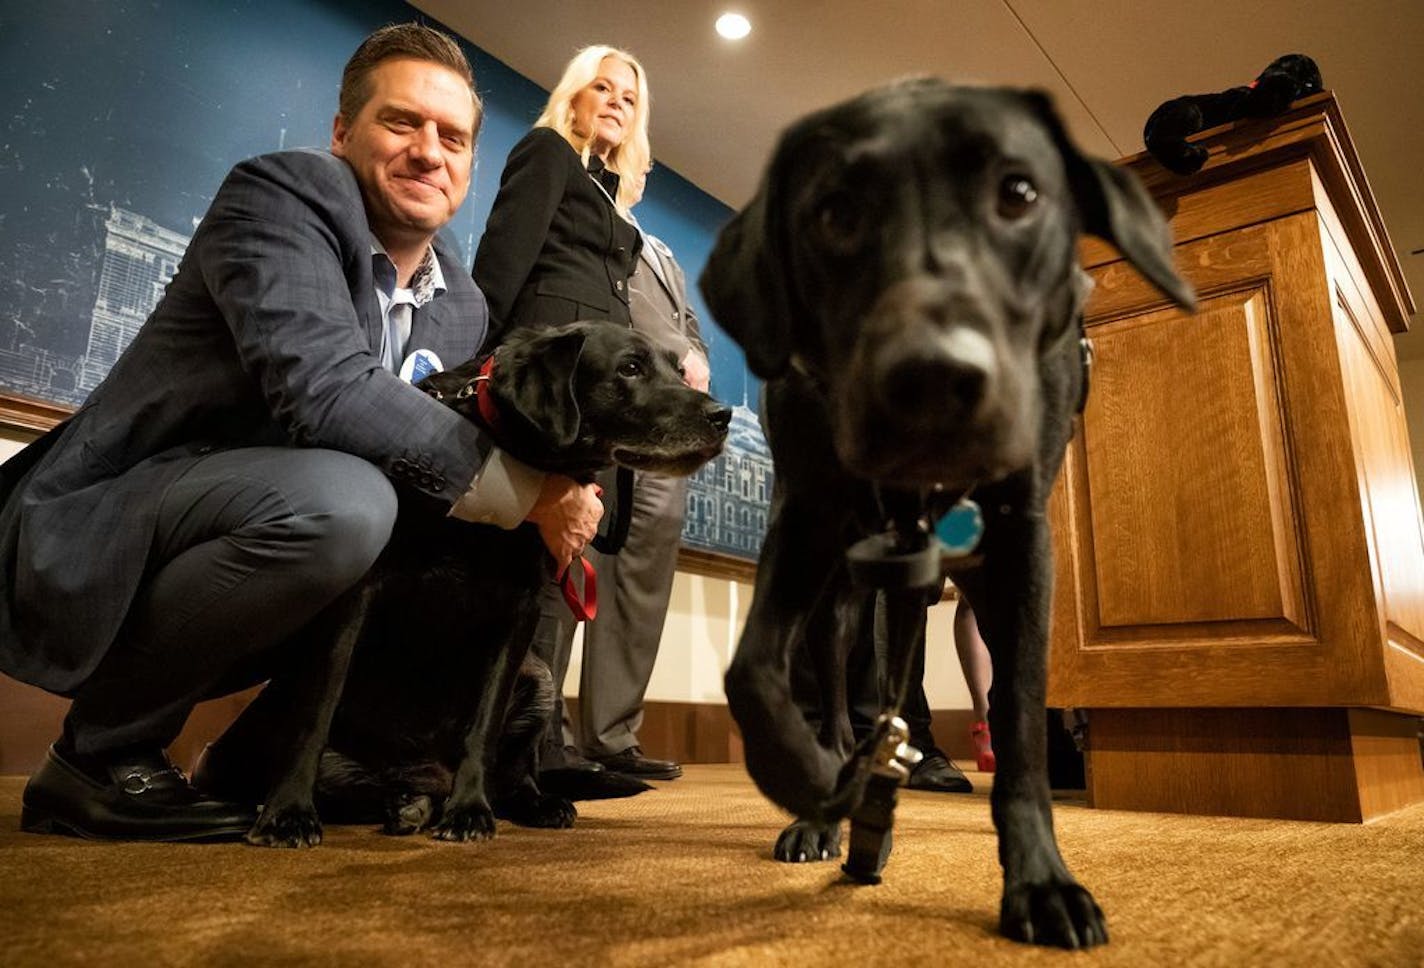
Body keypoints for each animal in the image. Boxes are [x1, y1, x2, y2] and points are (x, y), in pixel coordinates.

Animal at [700, 79, 1190, 950]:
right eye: (835, 213)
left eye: (1019, 194)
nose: (932, 380)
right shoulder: (807, 509)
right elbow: (752, 670)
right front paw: (816, 788)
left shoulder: (1021, 540)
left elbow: (1021, 714)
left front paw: (1041, 879)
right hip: (848, 600)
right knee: (838, 688)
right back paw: (839, 795)